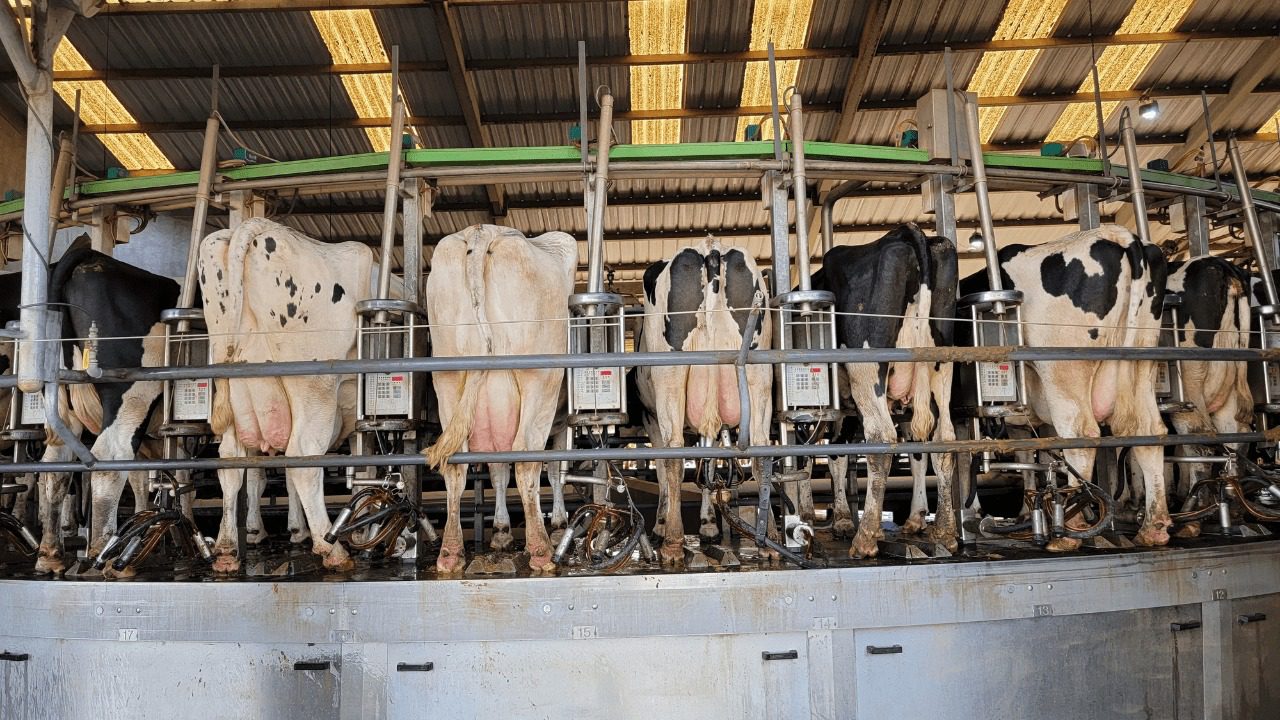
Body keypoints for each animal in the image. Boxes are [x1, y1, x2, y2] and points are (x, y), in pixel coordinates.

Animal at [35, 245, 180, 571]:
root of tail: (90, 256)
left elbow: (144, 478)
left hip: (61, 403)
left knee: (54, 467)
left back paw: (50, 554)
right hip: (130, 393)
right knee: (110, 457)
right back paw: (103, 551)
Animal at [424, 222, 576, 571]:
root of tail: (482, 231)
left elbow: (497, 472)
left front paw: (501, 531)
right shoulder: (561, 423)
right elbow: (554, 470)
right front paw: (558, 521)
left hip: (448, 377)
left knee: (456, 463)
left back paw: (450, 552)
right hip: (539, 380)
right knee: (526, 458)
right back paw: (541, 550)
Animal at [637, 238, 773, 563]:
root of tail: (710, 247)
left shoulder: (651, 417)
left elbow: (664, 471)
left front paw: (661, 525)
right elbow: (706, 463)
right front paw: (709, 526)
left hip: (669, 374)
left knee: (673, 453)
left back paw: (672, 542)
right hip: (760, 369)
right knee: (762, 446)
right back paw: (767, 539)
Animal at [803, 224, 957, 556]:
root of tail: (904, 232)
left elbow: (819, 458)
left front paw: (822, 516)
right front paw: (841, 518)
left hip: (866, 368)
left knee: (882, 438)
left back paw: (866, 537)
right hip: (941, 370)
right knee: (944, 441)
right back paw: (944, 532)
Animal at [962, 221, 1172, 545]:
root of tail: (1117, 234)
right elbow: (1029, 454)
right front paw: (1026, 510)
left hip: (1063, 370)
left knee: (1080, 433)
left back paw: (1069, 530)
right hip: (1141, 360)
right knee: (1148, 430)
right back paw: (1154, 526)